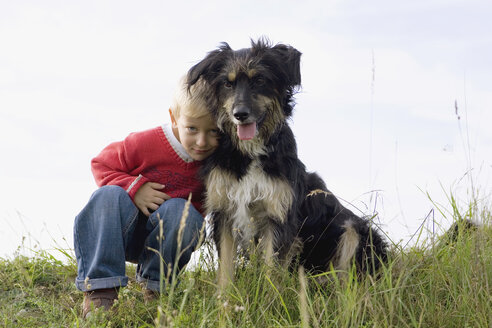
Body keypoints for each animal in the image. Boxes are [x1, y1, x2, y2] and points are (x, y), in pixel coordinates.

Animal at [186, 39, 386, 288]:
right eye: (227, 83)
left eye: (259, 80)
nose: (240, 114)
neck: (252, 152)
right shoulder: (225, 212)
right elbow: (225, 272)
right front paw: (224, 299)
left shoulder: (278, 216)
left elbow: (271, 273)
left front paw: (269, 299)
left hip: (354, 229)